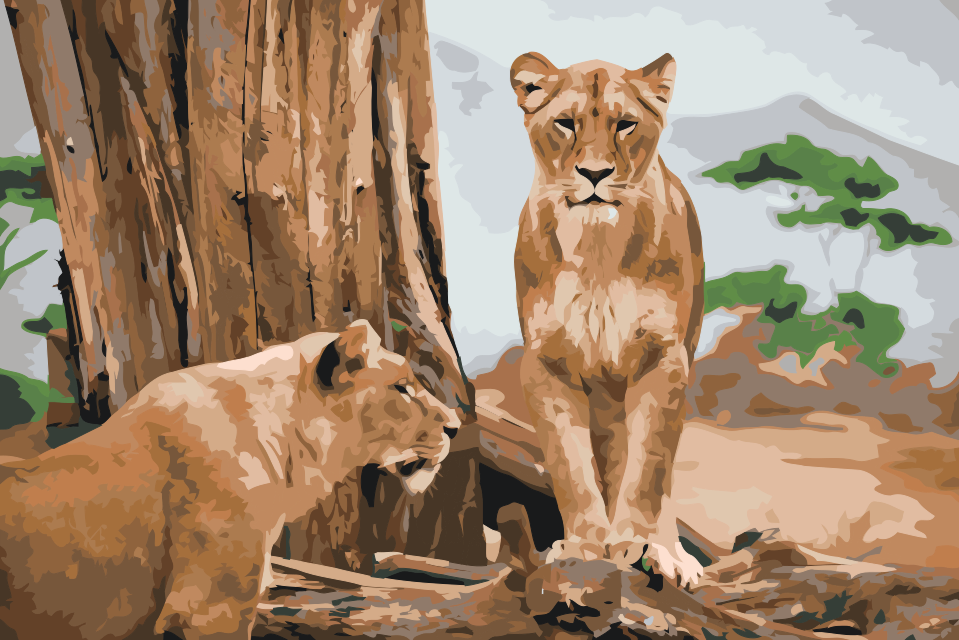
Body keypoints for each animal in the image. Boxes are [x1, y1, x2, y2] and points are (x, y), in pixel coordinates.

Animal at [510, 52, 706, 587]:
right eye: (565, 123)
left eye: (625, 124)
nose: (595, 174)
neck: (597, 250)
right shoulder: (546, 363)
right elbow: (571, 466)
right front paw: (583, 546)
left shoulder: (664, 356)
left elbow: (649, 468)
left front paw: (637, 544)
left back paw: (670, 554)